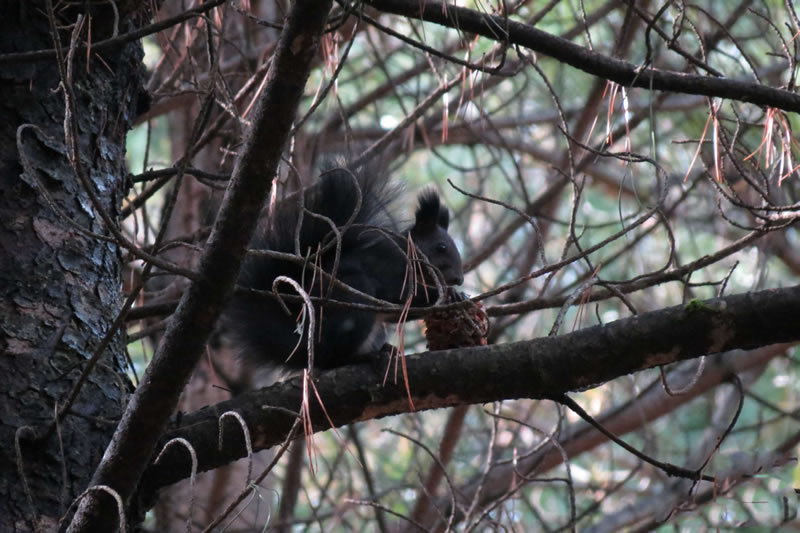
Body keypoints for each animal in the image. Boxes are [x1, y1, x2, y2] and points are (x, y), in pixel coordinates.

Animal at [223, 162, 462, 370]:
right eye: (441, 247)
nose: (459, 279)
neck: (409, 255)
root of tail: (310, 346)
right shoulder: (388, 266)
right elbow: (401, 299)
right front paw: (448, 295)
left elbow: (396, 315)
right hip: (351, 303)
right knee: (337, 358)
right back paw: (366, 357)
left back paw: (385, 350)